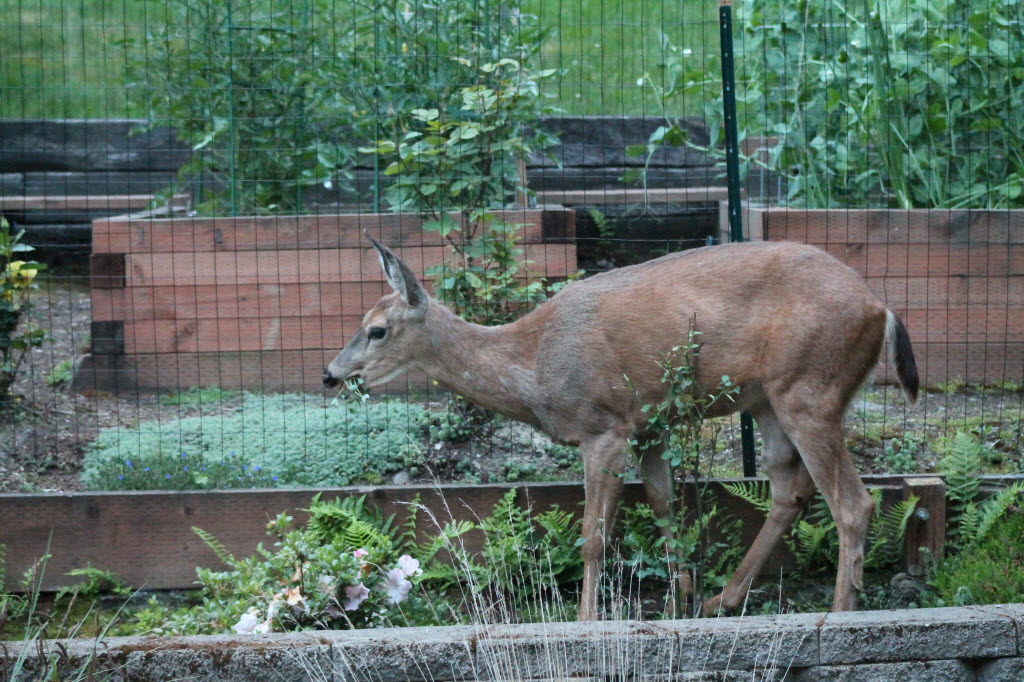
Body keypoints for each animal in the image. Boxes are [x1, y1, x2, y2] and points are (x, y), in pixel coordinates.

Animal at [323, 231, 919, 621]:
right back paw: (720, 599)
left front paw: (587, 619)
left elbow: (593, 537)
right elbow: (664, 504)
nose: (330, 374)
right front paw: (679, 597)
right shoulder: (648, 423)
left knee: (852, 503)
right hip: (769, 401)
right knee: (789, 493)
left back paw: (840, 613)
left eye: (377, 330)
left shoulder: (603, 426)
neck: (534, 367)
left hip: (810, 389)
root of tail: (882, 309)